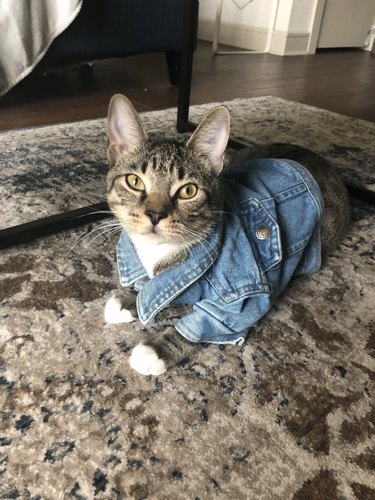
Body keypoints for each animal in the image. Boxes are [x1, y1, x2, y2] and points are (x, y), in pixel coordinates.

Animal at [102, 93, 350, 376]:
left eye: (188, 190)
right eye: (134, 181)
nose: (155, 214)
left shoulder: (246, 294)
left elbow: (214, 321)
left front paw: (156, 349)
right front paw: (129, 300)